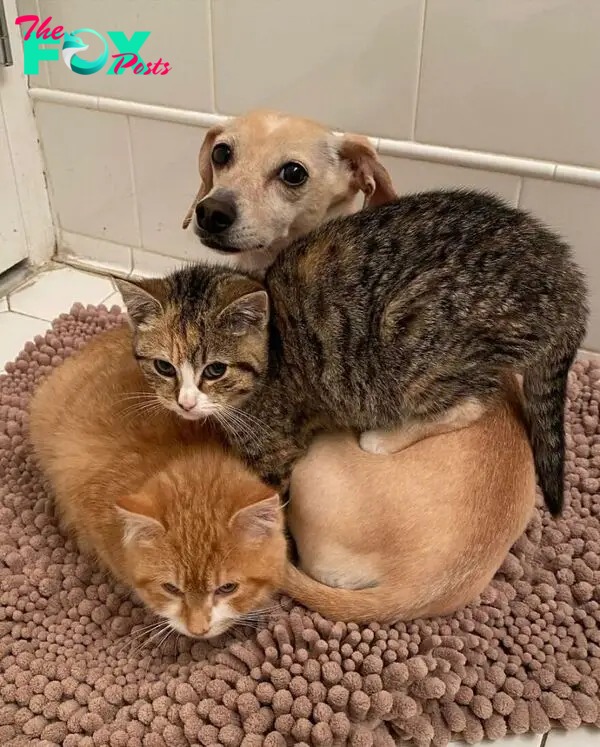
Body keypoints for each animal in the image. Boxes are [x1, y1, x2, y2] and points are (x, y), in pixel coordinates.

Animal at [116, 188, 584, 516]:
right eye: (163, 367)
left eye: (215, 370)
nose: (185, 403)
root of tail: (565, 278)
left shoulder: (275, 447)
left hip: (417, 337)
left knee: (469, 402)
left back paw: (384, 437)